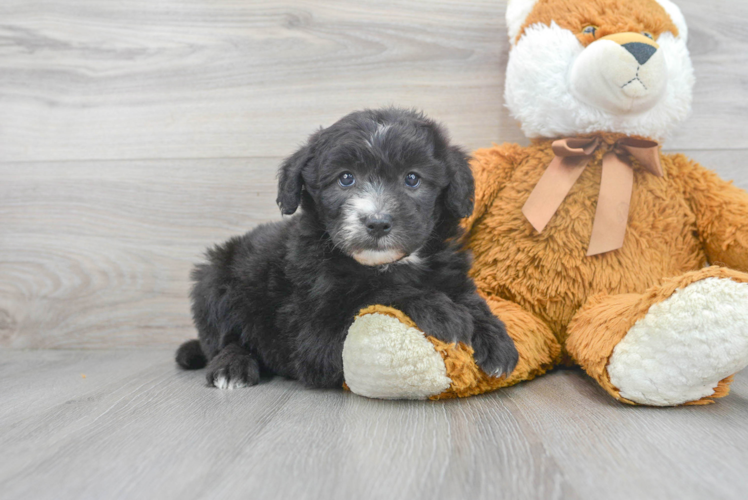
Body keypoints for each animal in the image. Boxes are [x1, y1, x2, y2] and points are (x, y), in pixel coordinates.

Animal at [175, 108, 516, 390]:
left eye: (412, 178)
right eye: (346, 178)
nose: (377, 223)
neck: (389, 264)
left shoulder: (451, 275)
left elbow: (472, 301)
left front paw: (496, 339)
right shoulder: (313, 334)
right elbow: (378, 294)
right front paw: (440, 310)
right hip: (213, 279)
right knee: (222, 340)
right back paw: (231, 366)